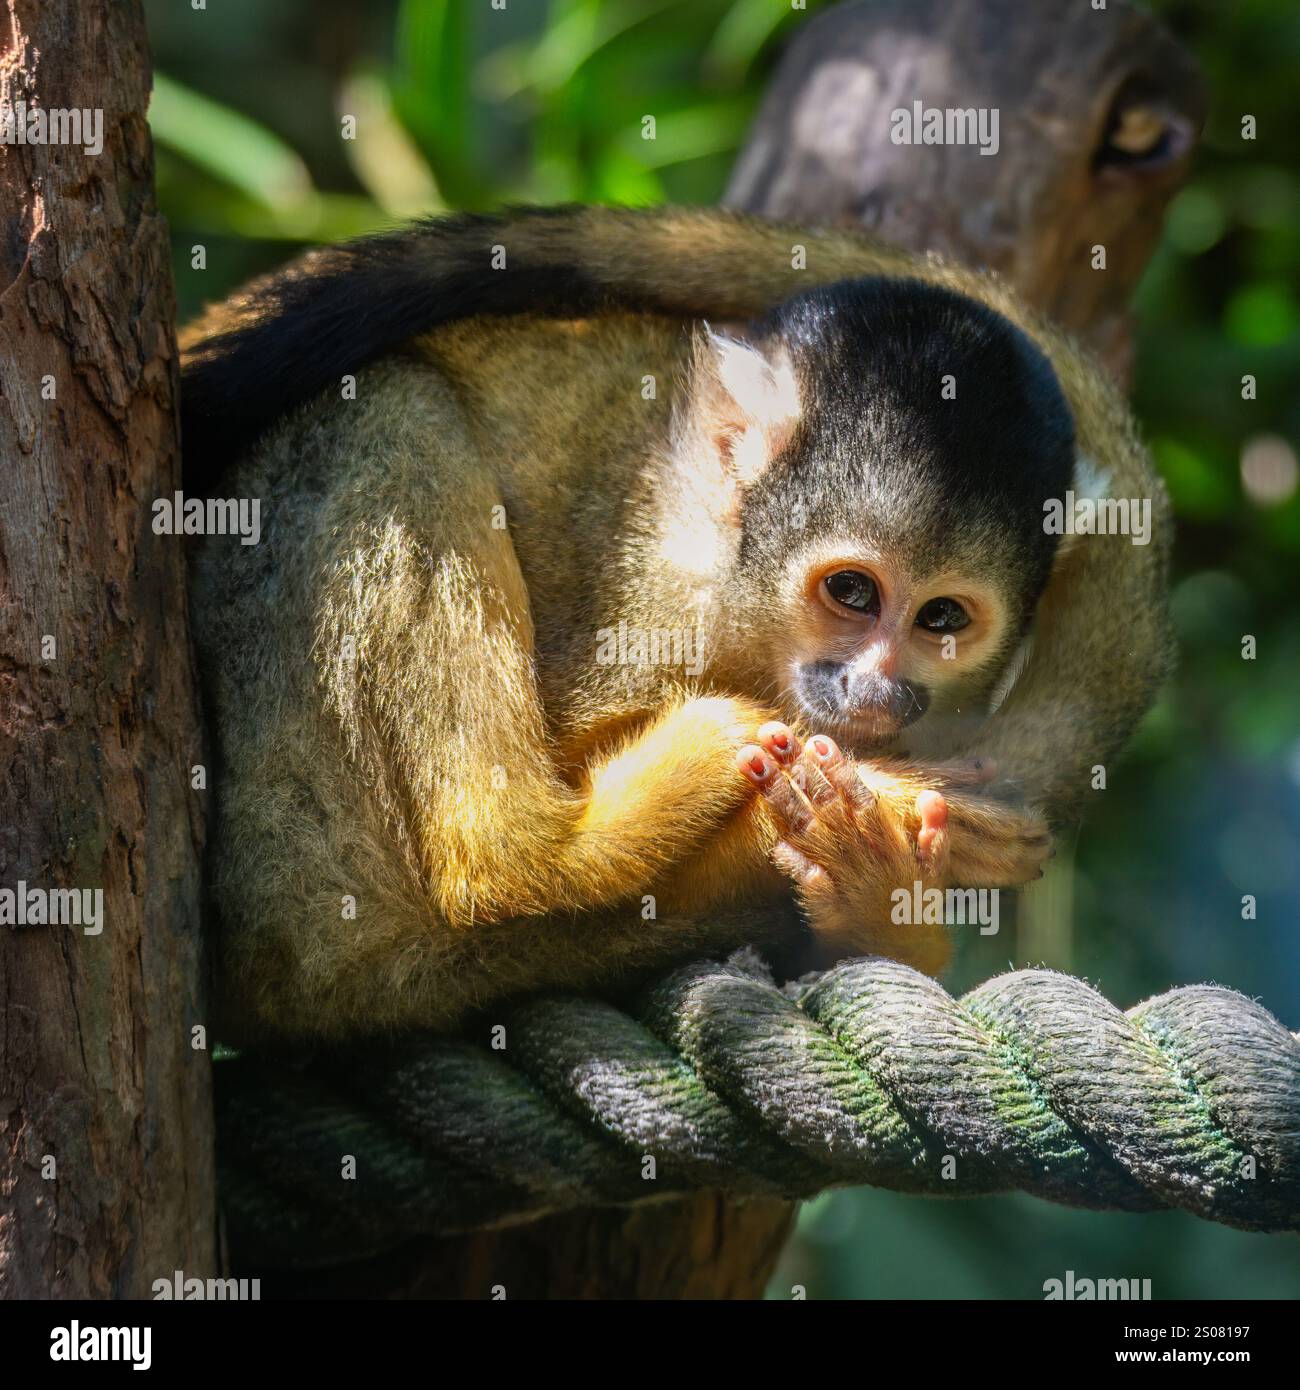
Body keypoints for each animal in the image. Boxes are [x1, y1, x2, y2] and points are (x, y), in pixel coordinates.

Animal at [180, 202, 1167, 1034]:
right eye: (852, 593)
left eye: (943, 619)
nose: (877, 693)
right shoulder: (656, 584)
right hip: (304, 854)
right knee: (387, 412)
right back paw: (549, 845)